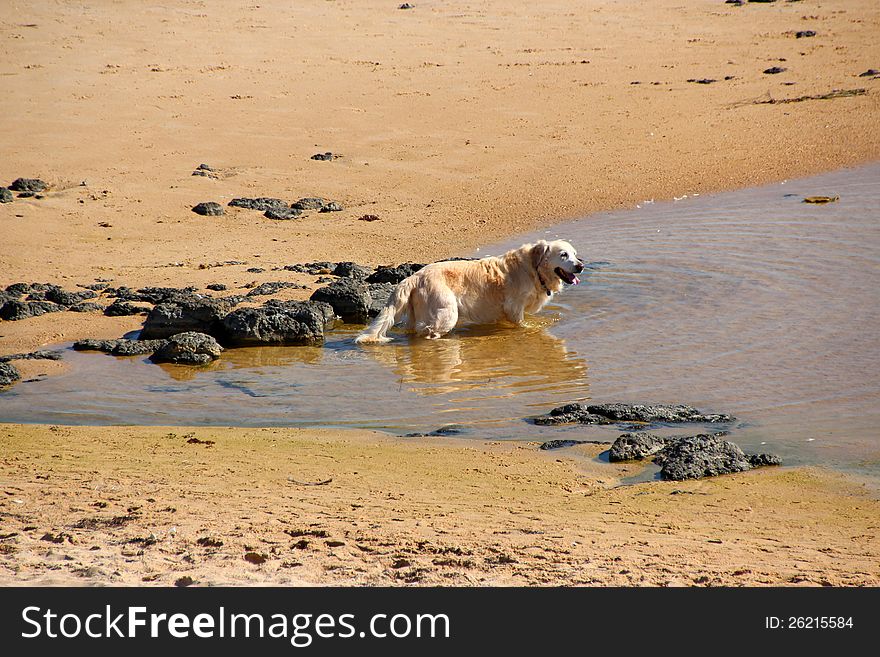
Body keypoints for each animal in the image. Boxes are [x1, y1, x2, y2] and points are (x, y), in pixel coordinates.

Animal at [354, 240, 580, 344]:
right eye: (563, 255)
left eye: (575, 254)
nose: (580, 266)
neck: (534, 268)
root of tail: (414, 276)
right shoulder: (514, 307)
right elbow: (522, 323)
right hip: (446, 312)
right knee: (429, 332)